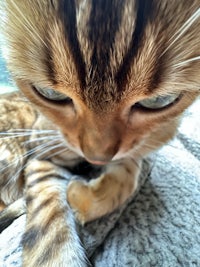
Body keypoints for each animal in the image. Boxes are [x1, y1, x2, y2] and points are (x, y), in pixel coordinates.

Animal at [0, 0, 199, 267]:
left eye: (159, 101)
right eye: (50, 94)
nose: (96, 157)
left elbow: (129, 172)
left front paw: (85, 197)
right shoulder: (42, 153)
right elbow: (51, 234)